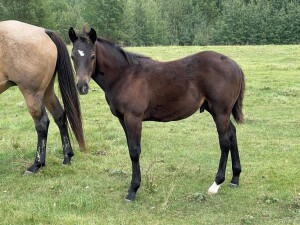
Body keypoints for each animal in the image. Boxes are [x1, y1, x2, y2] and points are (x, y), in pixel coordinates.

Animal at [0, 20, 85, 174]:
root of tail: (43, 31)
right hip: (47, 92)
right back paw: (67, 157)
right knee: (59, 115)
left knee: (42, 123)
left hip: (32, 94)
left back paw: (37, 164)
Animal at [69, 27, 245, 201]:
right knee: (232, 133)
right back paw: (235, 178)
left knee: (224, 142)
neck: (125, 76)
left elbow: (134, 151)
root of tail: (235, 65)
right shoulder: (122, 119)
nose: (82, 86)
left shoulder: (133, 118)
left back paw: (216, 184)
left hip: (220, 112)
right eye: (72, 56)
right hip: (217, 111)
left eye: (92, 56)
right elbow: (130, 148)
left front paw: (133, 190)